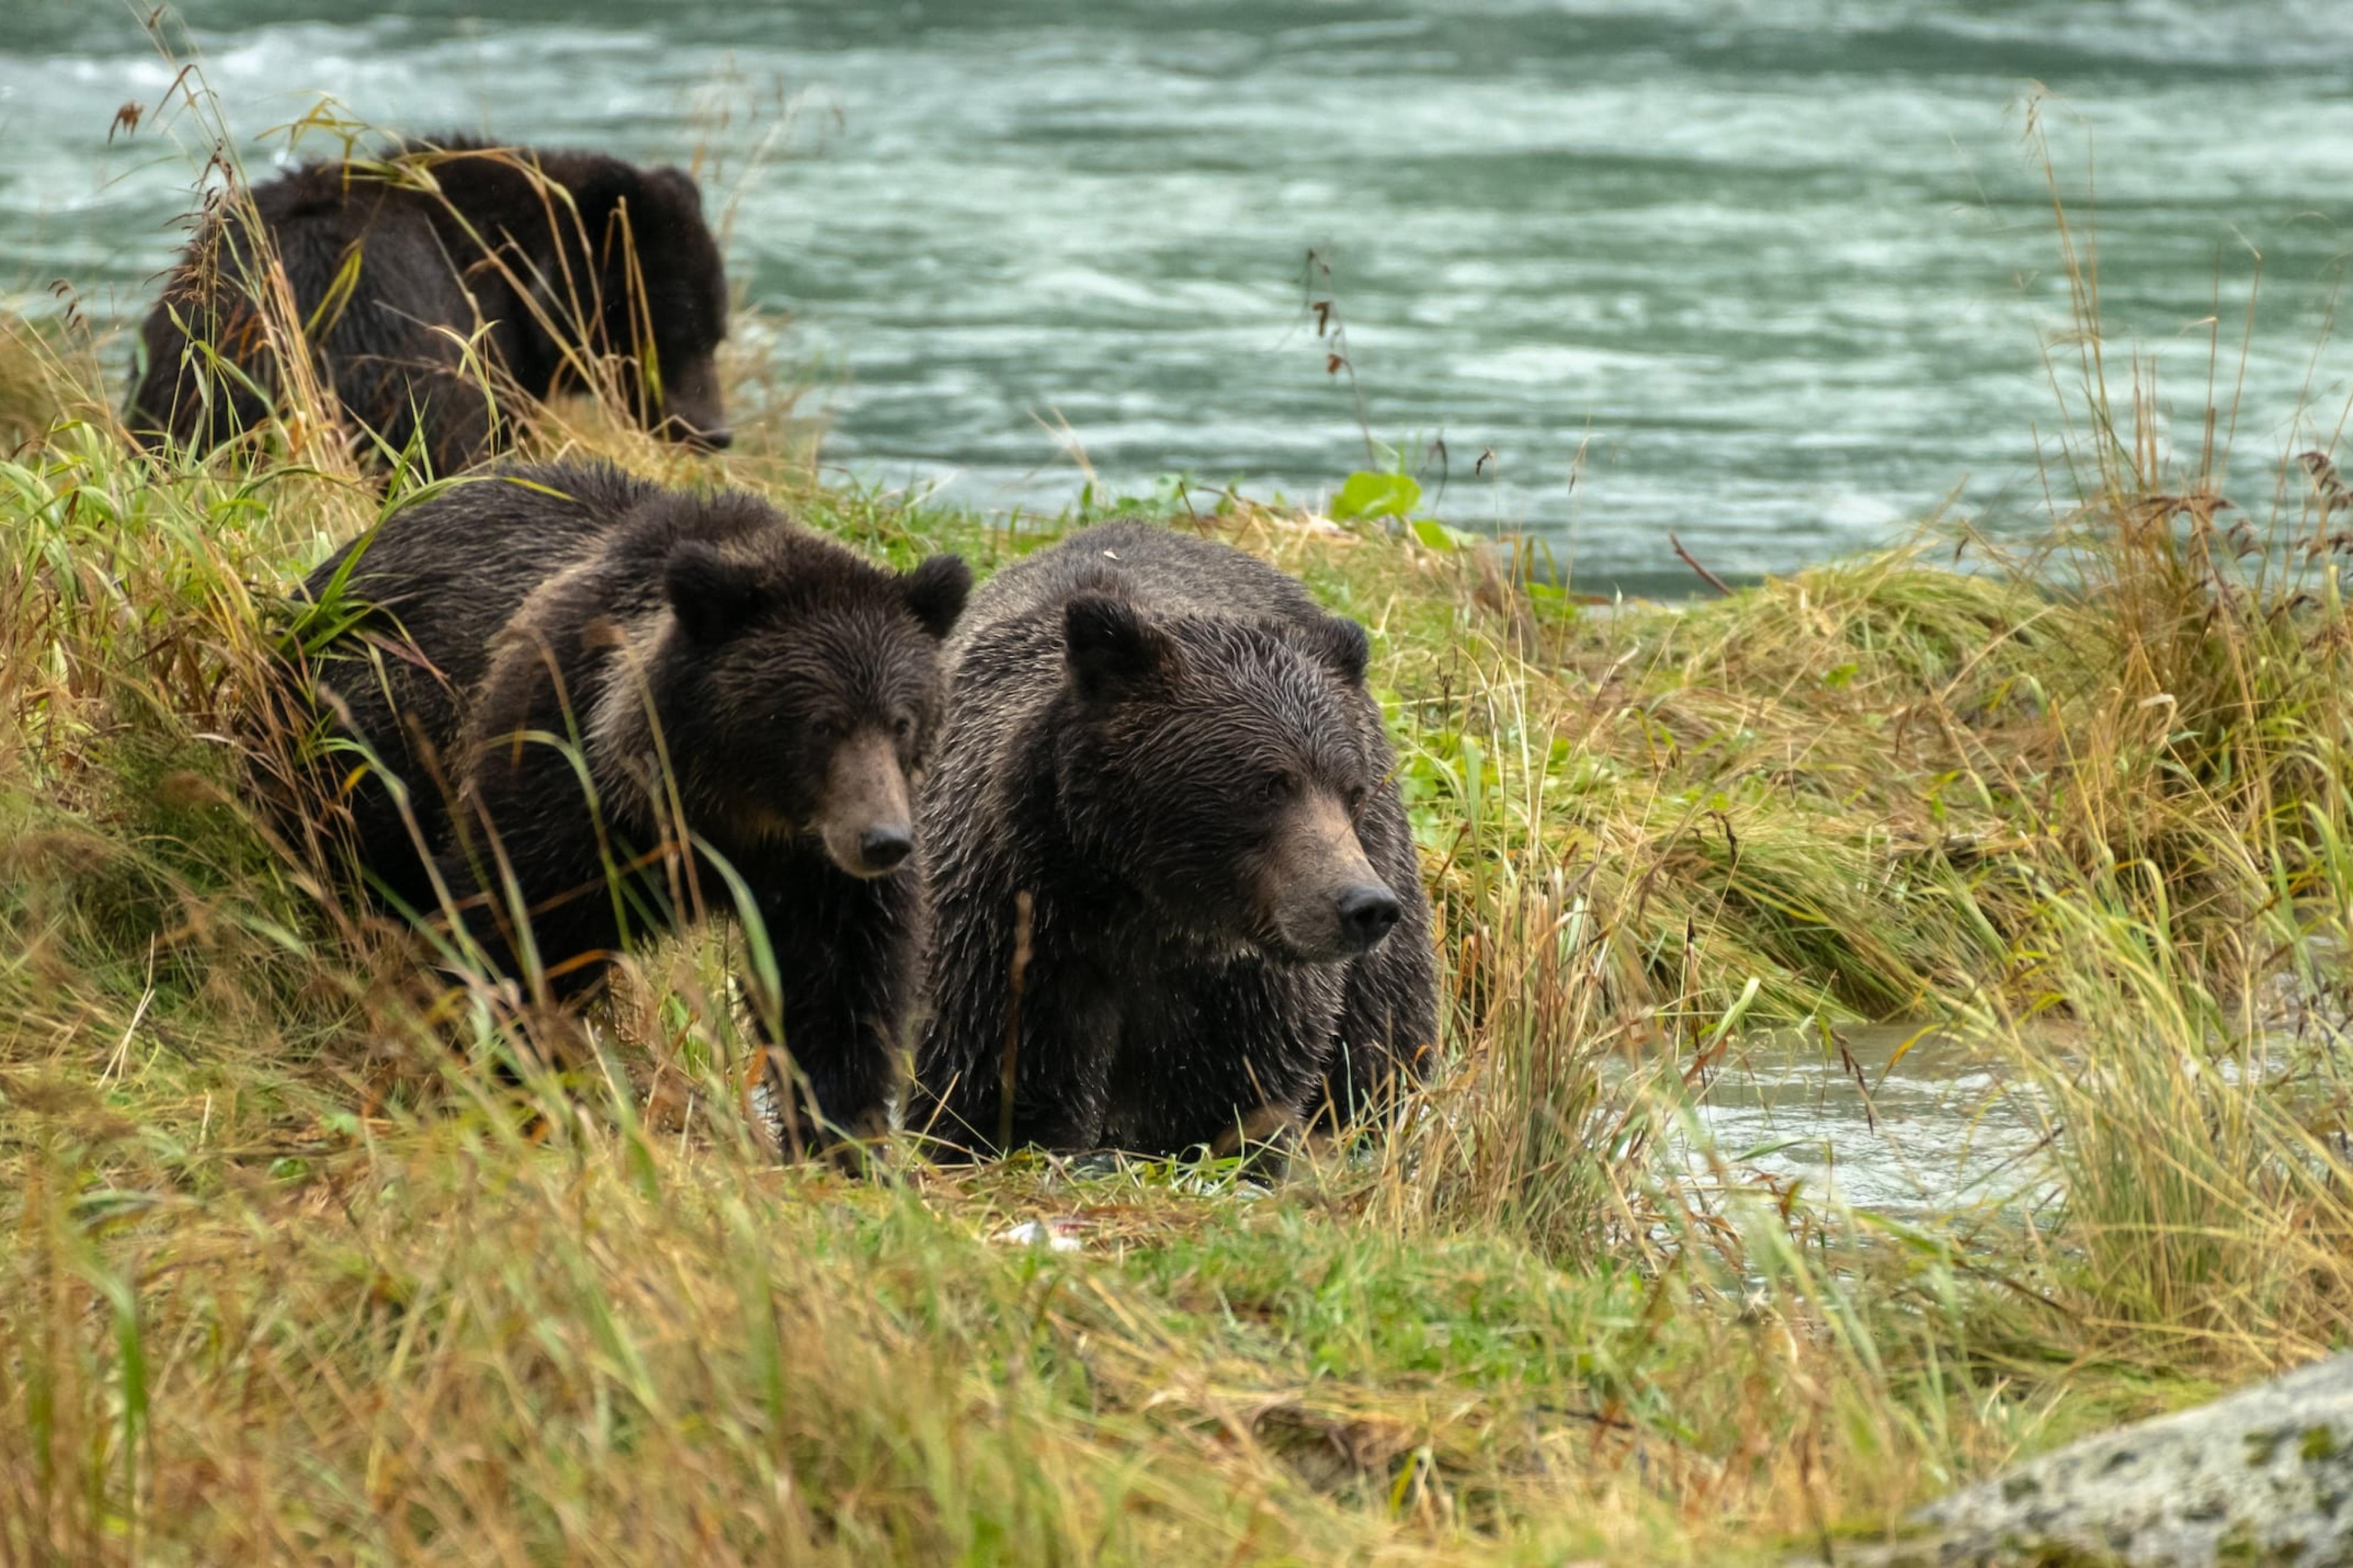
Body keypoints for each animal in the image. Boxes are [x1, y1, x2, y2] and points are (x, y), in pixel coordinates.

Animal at [296, 459, 974, 1144]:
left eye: (901, 720)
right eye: (822, 723)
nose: (883, 840)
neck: (720, 809)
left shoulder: (815, 873)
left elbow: (839, 995)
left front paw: (841, 1134)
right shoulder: (561, 779)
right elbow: (515, 934)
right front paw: (522, 1082)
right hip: (366, 743)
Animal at [913, 518, 1431, 1153]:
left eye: (1351, 790)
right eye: (1269, 785)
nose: (1364, 905)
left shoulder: (1240, 988)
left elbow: (1233, 1095)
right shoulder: (1011, 931)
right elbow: (988, 1082)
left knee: (1382, 1035)